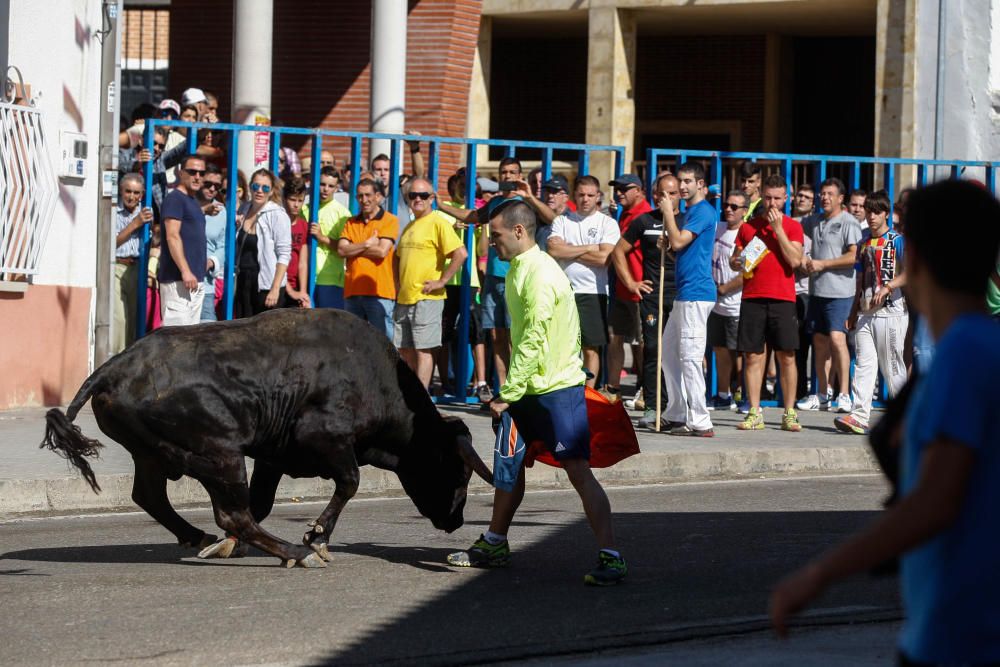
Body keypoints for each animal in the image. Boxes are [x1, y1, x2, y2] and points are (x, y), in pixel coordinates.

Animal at [43, 312, 496, 568]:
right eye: (458, 471)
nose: (456, 520)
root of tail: (115, 367)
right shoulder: (327, 440)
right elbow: (349, 482)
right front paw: (316, 538)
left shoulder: (272, 458)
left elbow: (263, 501)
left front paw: (229, 548)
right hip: (220, 453)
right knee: (231, 513)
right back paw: (295, 554)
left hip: (154, 455)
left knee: (152, 496)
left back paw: (200, 537)